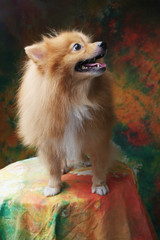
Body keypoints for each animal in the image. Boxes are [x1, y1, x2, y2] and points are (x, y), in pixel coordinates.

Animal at [17, 29, 115, 197]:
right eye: (77, 47)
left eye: (88, 41)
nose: (103, 43)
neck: (73, 96)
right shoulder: (49, 139)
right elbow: (52, 168)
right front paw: (54, 186)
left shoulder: (97, 135)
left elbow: (99, 165)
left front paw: (99, 184)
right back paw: (63, 166)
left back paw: (84, 159)